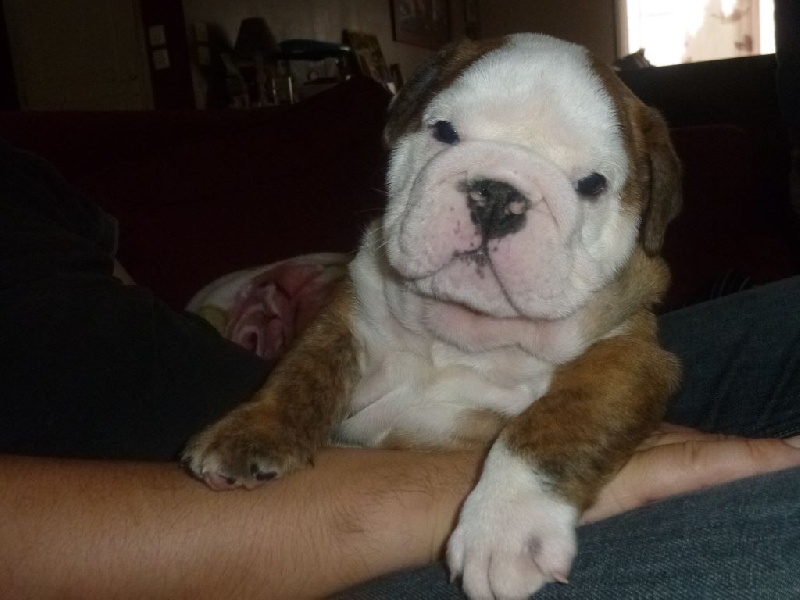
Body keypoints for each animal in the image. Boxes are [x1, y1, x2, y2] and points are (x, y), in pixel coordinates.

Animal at [183, 33, 682, 599]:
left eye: (592, 184)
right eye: (444, 132)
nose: (498, 193)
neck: (463, 330)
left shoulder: (628, 357)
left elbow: (555, 423)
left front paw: (507, 528)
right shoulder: (350, 318)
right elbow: (303, 373)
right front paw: (255, 430)